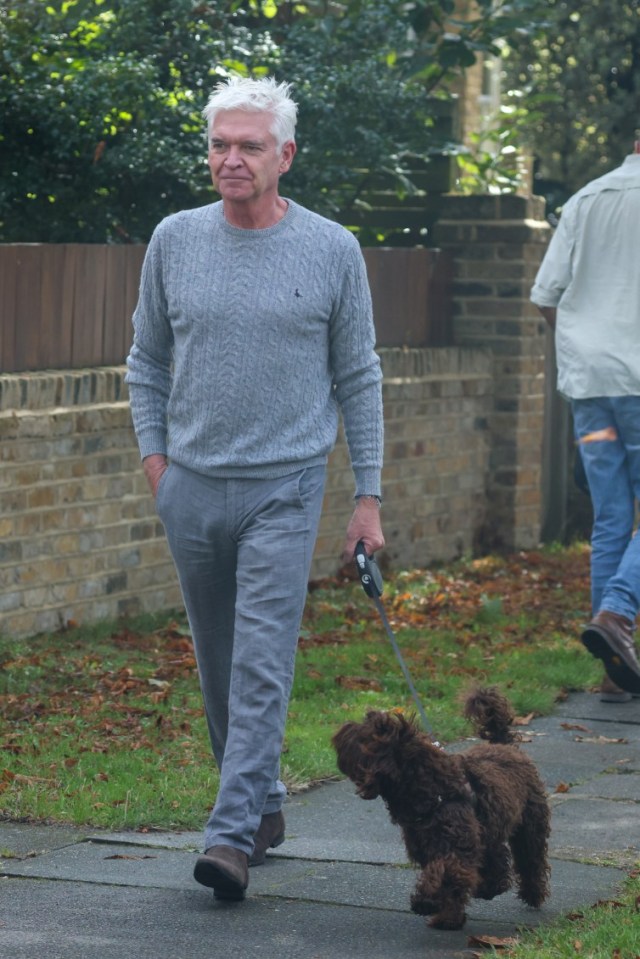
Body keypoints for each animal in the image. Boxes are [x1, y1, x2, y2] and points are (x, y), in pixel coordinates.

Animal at [330, 688, 552, 932]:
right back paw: (490, 887)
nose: (342, 728)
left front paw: (425, 901)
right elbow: (451, 884)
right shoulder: (429, 847)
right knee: (498, 862)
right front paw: (448, 918)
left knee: (530, 861)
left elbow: (445, 873)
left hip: (530, 826)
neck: (432, 789)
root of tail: (504, 745)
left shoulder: (456, 848)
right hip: (489, 829)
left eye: (371, 731)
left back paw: (532, 894)